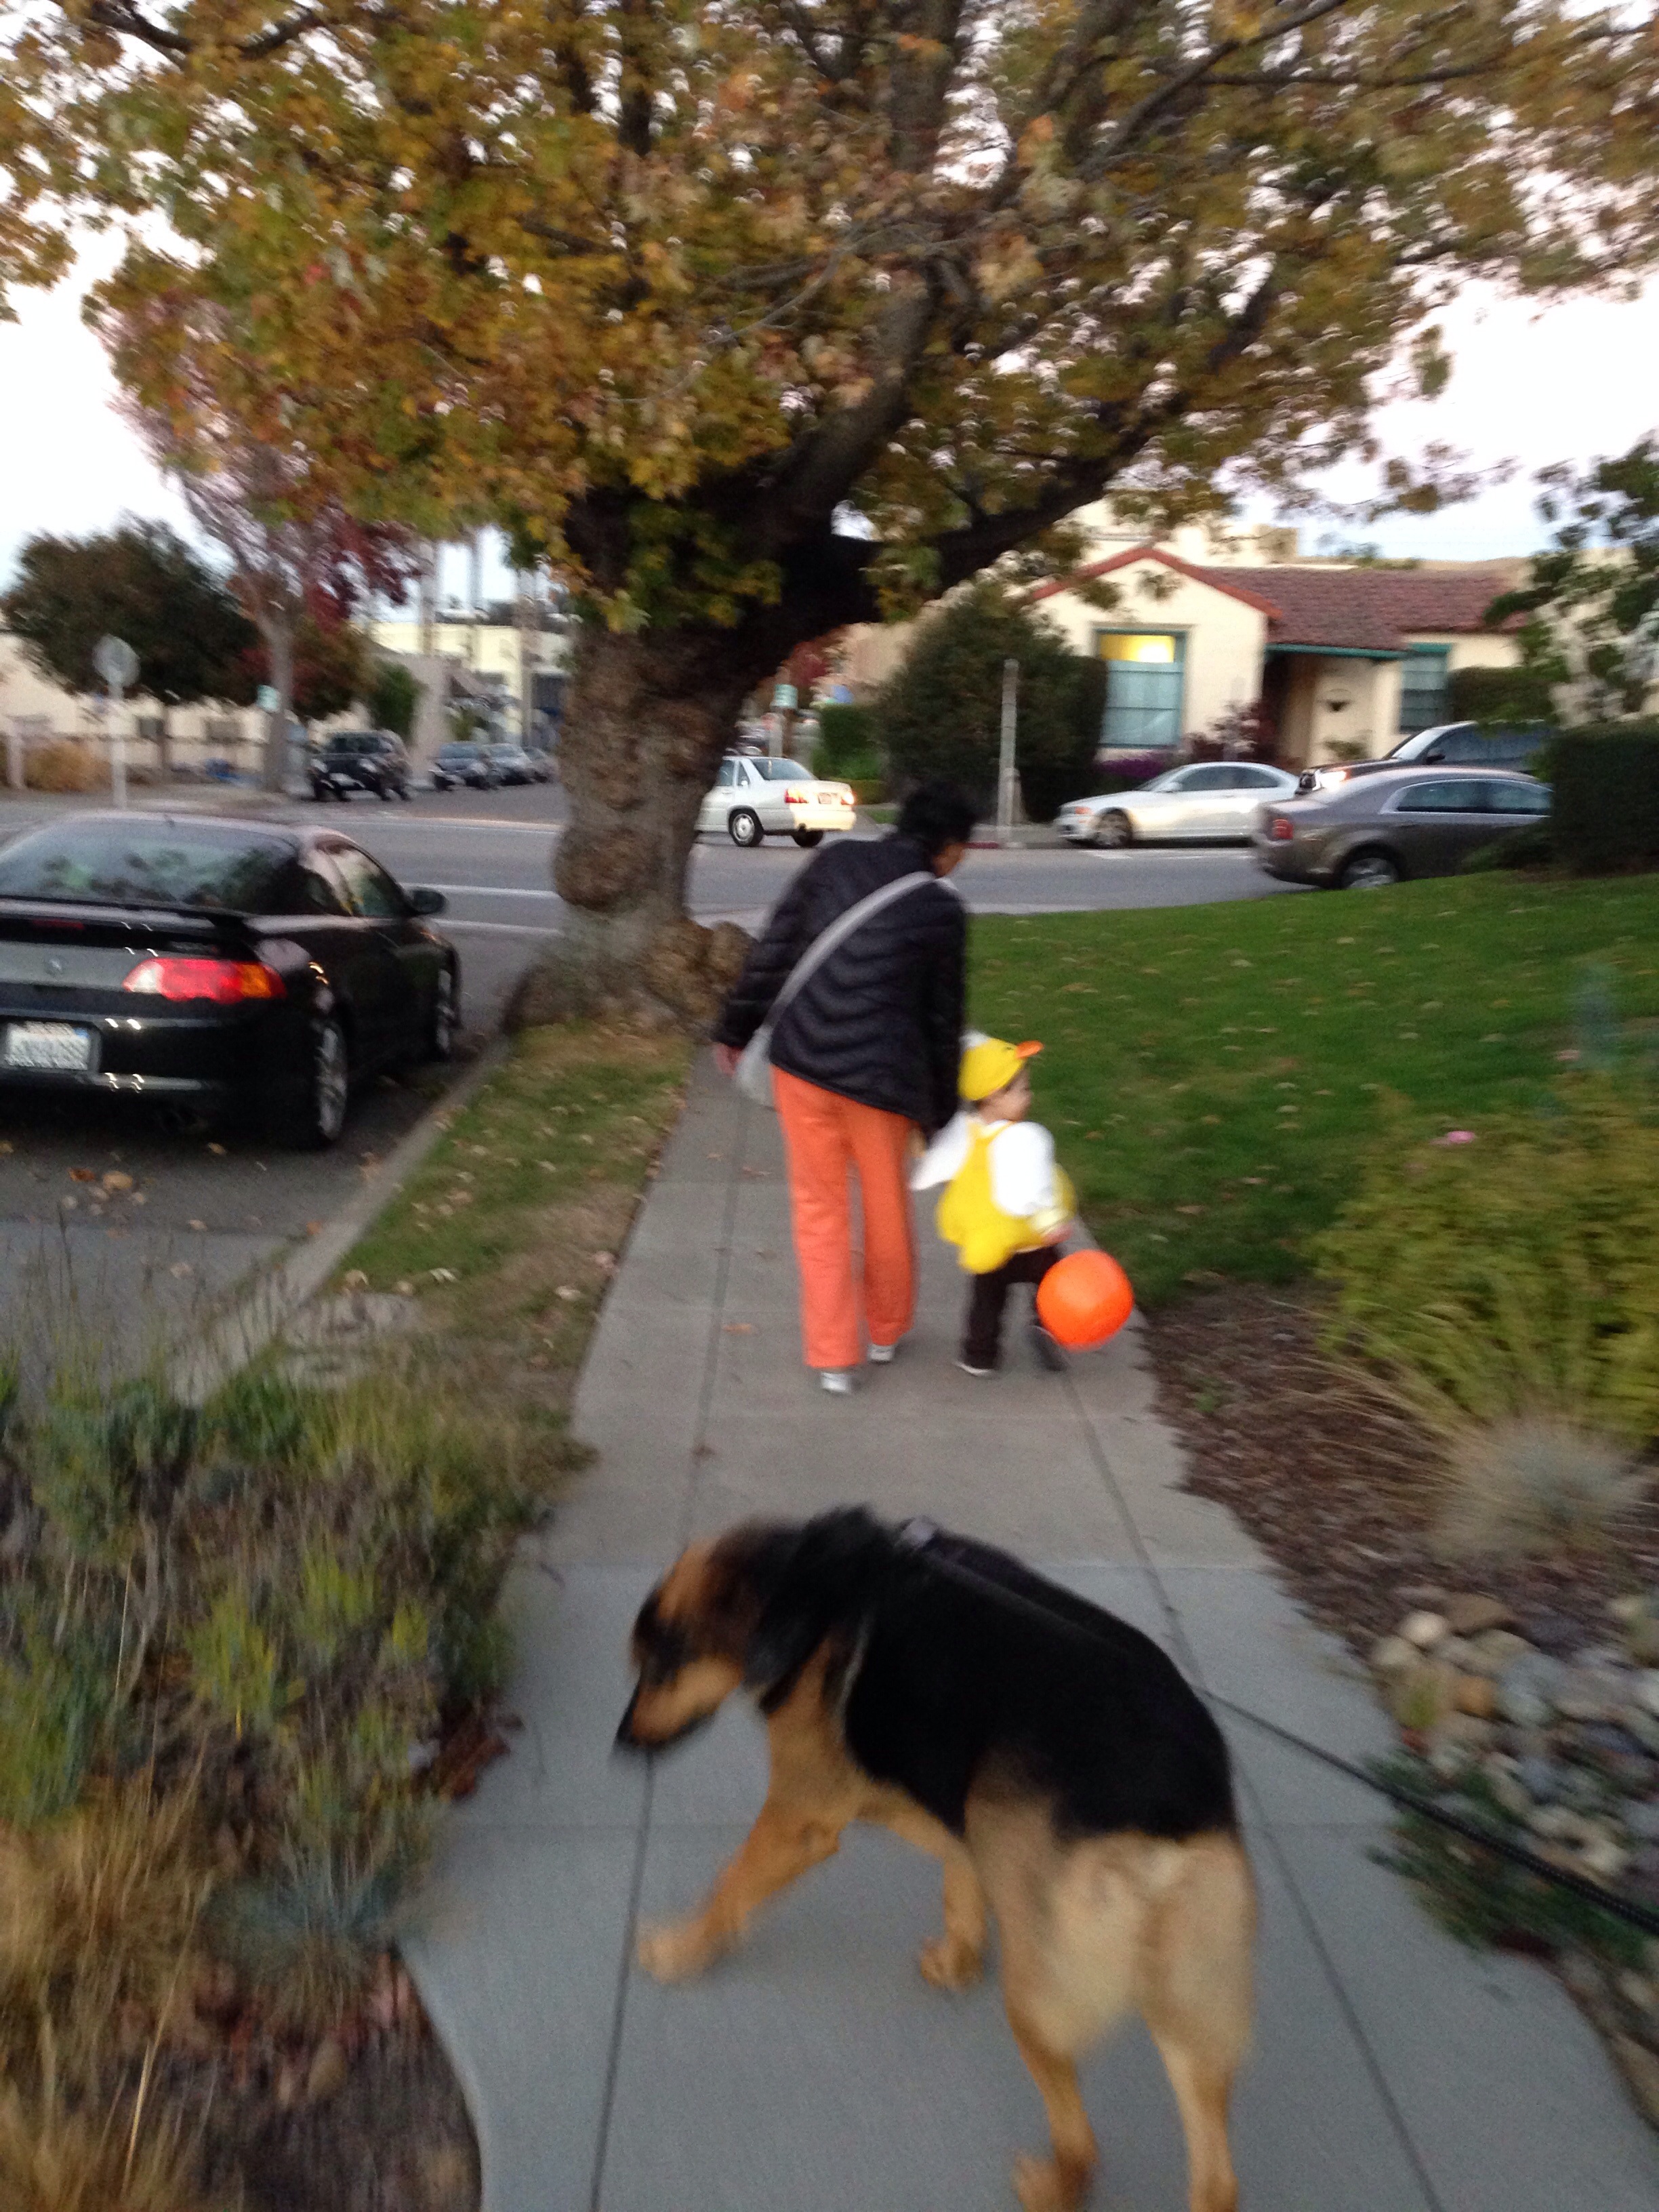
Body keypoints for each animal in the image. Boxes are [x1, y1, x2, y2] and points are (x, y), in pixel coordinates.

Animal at [615, 1507, 1255, 2212]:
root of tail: (1170, 1805)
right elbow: (960, 1885)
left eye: (660, 1666)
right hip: (1189, 1991)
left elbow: (729, 1888)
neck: (801, 1587)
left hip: (1043, 1995)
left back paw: (1057, 2186)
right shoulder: (964, 1806)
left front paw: (682, 1949)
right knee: (1217, 2176)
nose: (621, 1746)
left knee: (1082, 2136)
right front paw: (957, 1959)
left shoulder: (797, 1820)